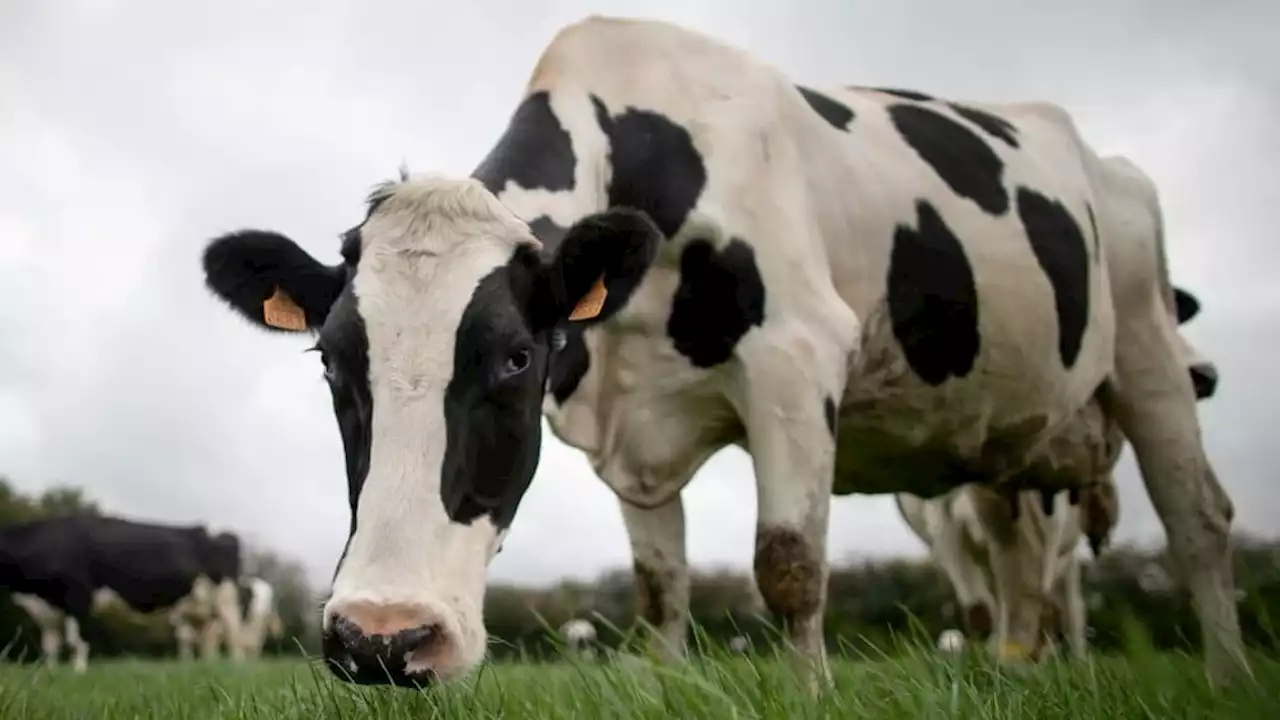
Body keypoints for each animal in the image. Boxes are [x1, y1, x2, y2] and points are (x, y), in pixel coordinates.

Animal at [0, 509, 247, 666]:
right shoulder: (46, 610)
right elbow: (50, 645)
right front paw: (50, 676)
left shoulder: (78, 596)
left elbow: (76, 642)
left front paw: (78, 675)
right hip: (199, 604)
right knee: (206, 637)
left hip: (225, 596)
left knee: (233, 631)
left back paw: (236, 668)